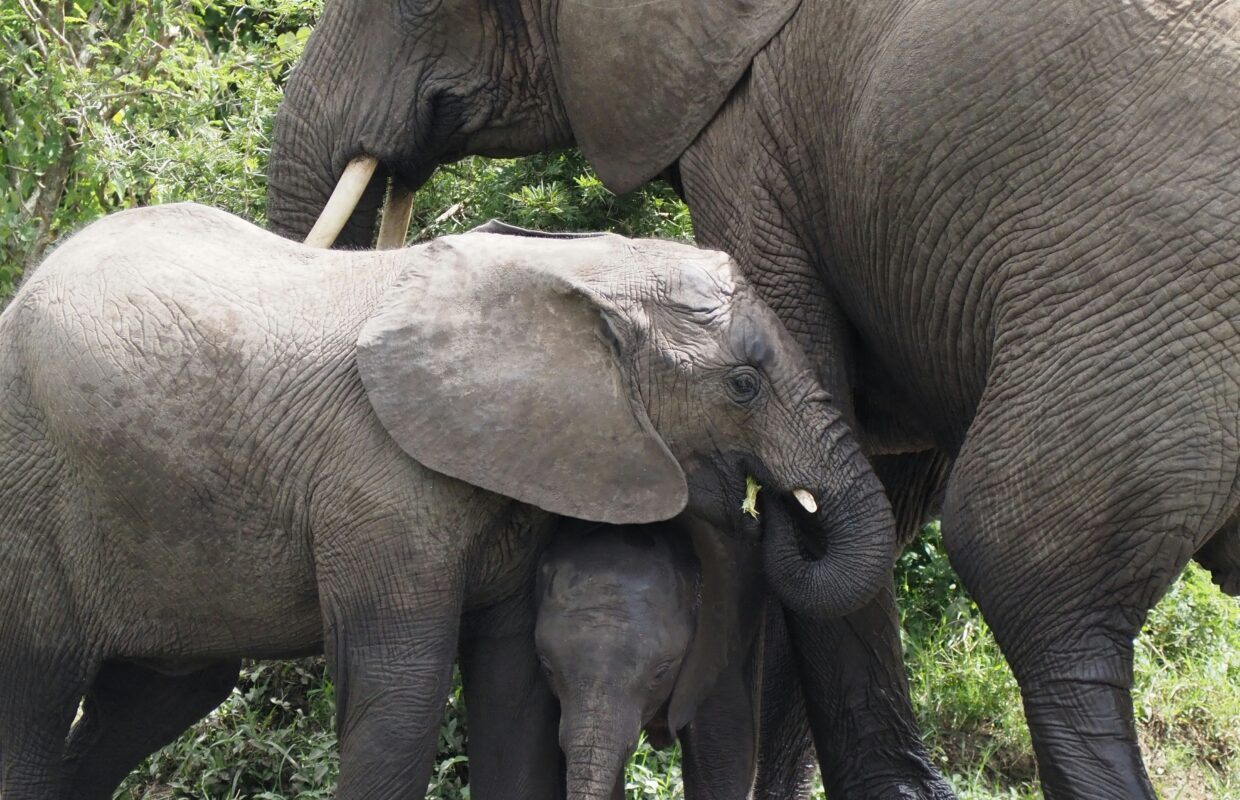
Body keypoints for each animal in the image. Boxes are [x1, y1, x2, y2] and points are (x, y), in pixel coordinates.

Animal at [0, 202, 896, 799]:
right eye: (744, 384)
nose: (770, 506)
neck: (576, 273)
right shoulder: (379, 478)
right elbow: (403, 693)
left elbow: (510, 694)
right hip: (29, 489)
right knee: (35, 695)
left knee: (155, 698)